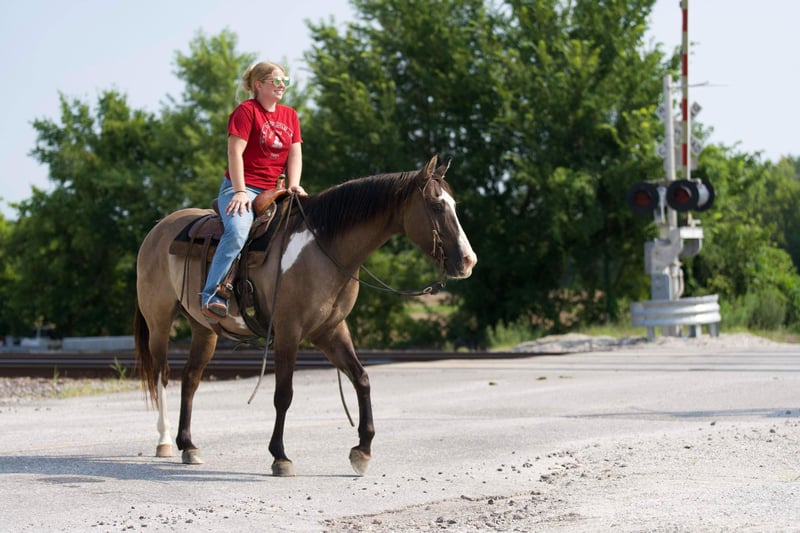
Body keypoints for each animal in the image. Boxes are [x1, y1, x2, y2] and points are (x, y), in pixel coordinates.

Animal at [133, 155, 477, 476]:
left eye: (453, 205)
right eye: (436, 205)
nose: (468, 261)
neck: (325, 248)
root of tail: (157, 229)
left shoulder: (330, 330)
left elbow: (362, 379)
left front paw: (362, 451)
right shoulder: (289, 331)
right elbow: (284, 393)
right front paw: (280, 456)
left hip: (204, 328)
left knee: (190, 379)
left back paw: (188, 445)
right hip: (159, 322)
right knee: (163, 375)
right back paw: (165, 441)